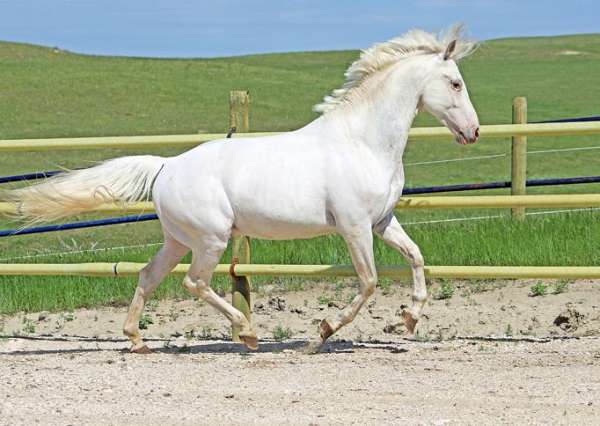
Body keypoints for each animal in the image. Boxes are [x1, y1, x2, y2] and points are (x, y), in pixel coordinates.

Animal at [4, 27, 478, 352]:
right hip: (211, 239)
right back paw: (248, 333)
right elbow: (368, 283)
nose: (472, 132)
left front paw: (408, 320)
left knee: (149, 275)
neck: (361, 141)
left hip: (179, 239)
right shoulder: (355, 227)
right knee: (194, 282)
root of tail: (167, 166)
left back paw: (137, 340)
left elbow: (416, 258)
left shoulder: (381, 221)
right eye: (455, 83)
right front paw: (320, 335)